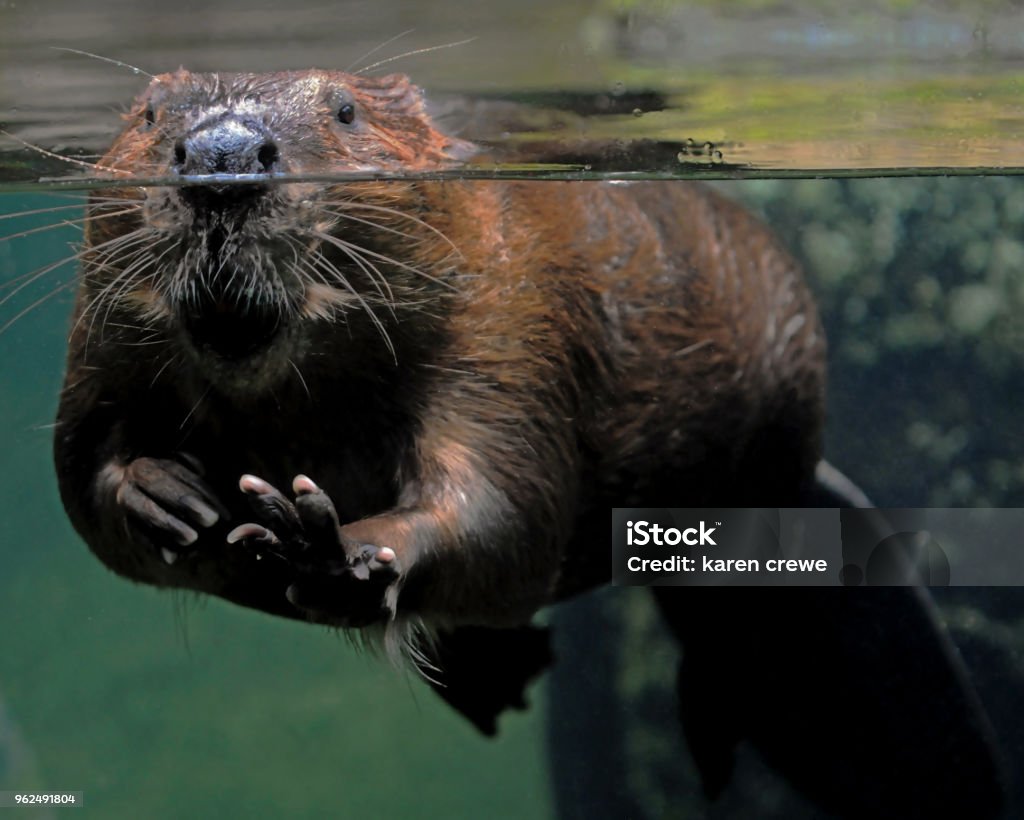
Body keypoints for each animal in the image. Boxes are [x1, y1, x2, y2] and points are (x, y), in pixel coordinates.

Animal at [54, 68, 999, 810]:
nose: (222, 157)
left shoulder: (509, 313)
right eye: (150, 114)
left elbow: (506, 507)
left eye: (346, 110)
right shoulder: (100, 335)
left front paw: (326, 542)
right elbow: (80, 473)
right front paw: (167, 495)